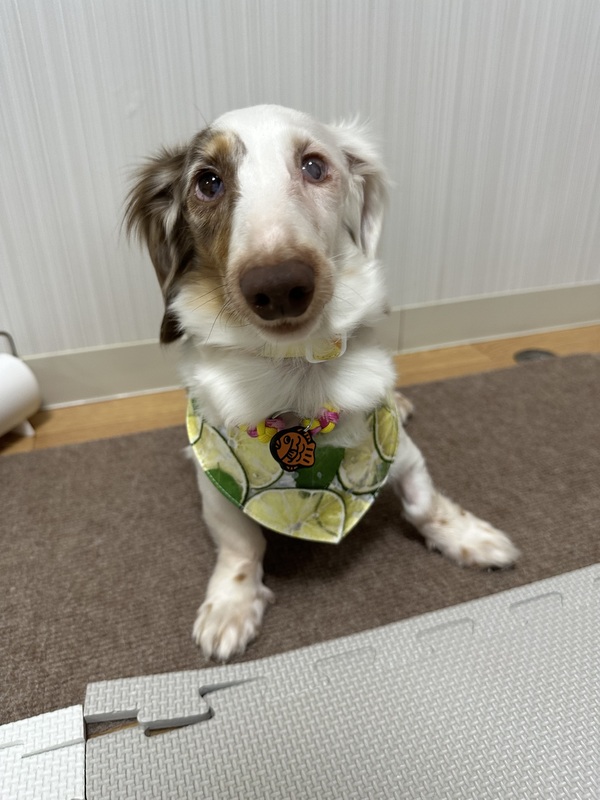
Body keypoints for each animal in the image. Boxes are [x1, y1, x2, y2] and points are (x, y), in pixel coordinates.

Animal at [125, 104, 519, 661]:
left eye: (314, 166)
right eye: (208, 181)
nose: (278, 285)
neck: (297, 373)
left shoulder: (401, 452)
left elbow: (425, 502)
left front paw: (470, 538)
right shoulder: (216, 483)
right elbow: (241, 545)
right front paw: (231, 605)